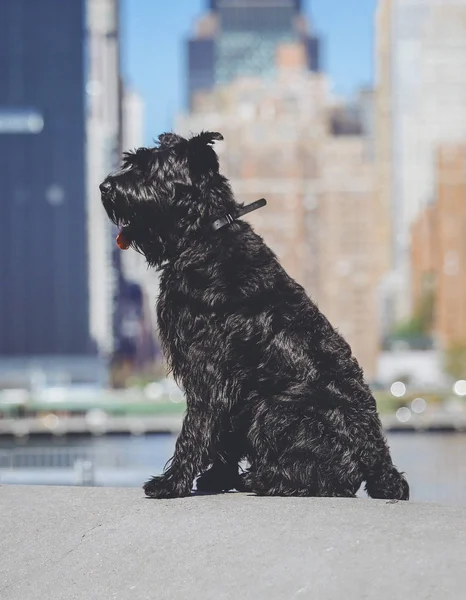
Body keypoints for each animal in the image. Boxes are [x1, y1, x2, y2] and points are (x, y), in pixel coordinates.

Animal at [101, 132, 408, 502]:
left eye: (149, 171)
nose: (105, 187)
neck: (204, 238)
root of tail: (379, 463)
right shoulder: (225, 386)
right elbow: (223, 438)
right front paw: (217, 478)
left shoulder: (208, 370)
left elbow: (196, 428)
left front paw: (172, 483)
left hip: (275, 408)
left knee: (330, 480)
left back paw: (267, 479)